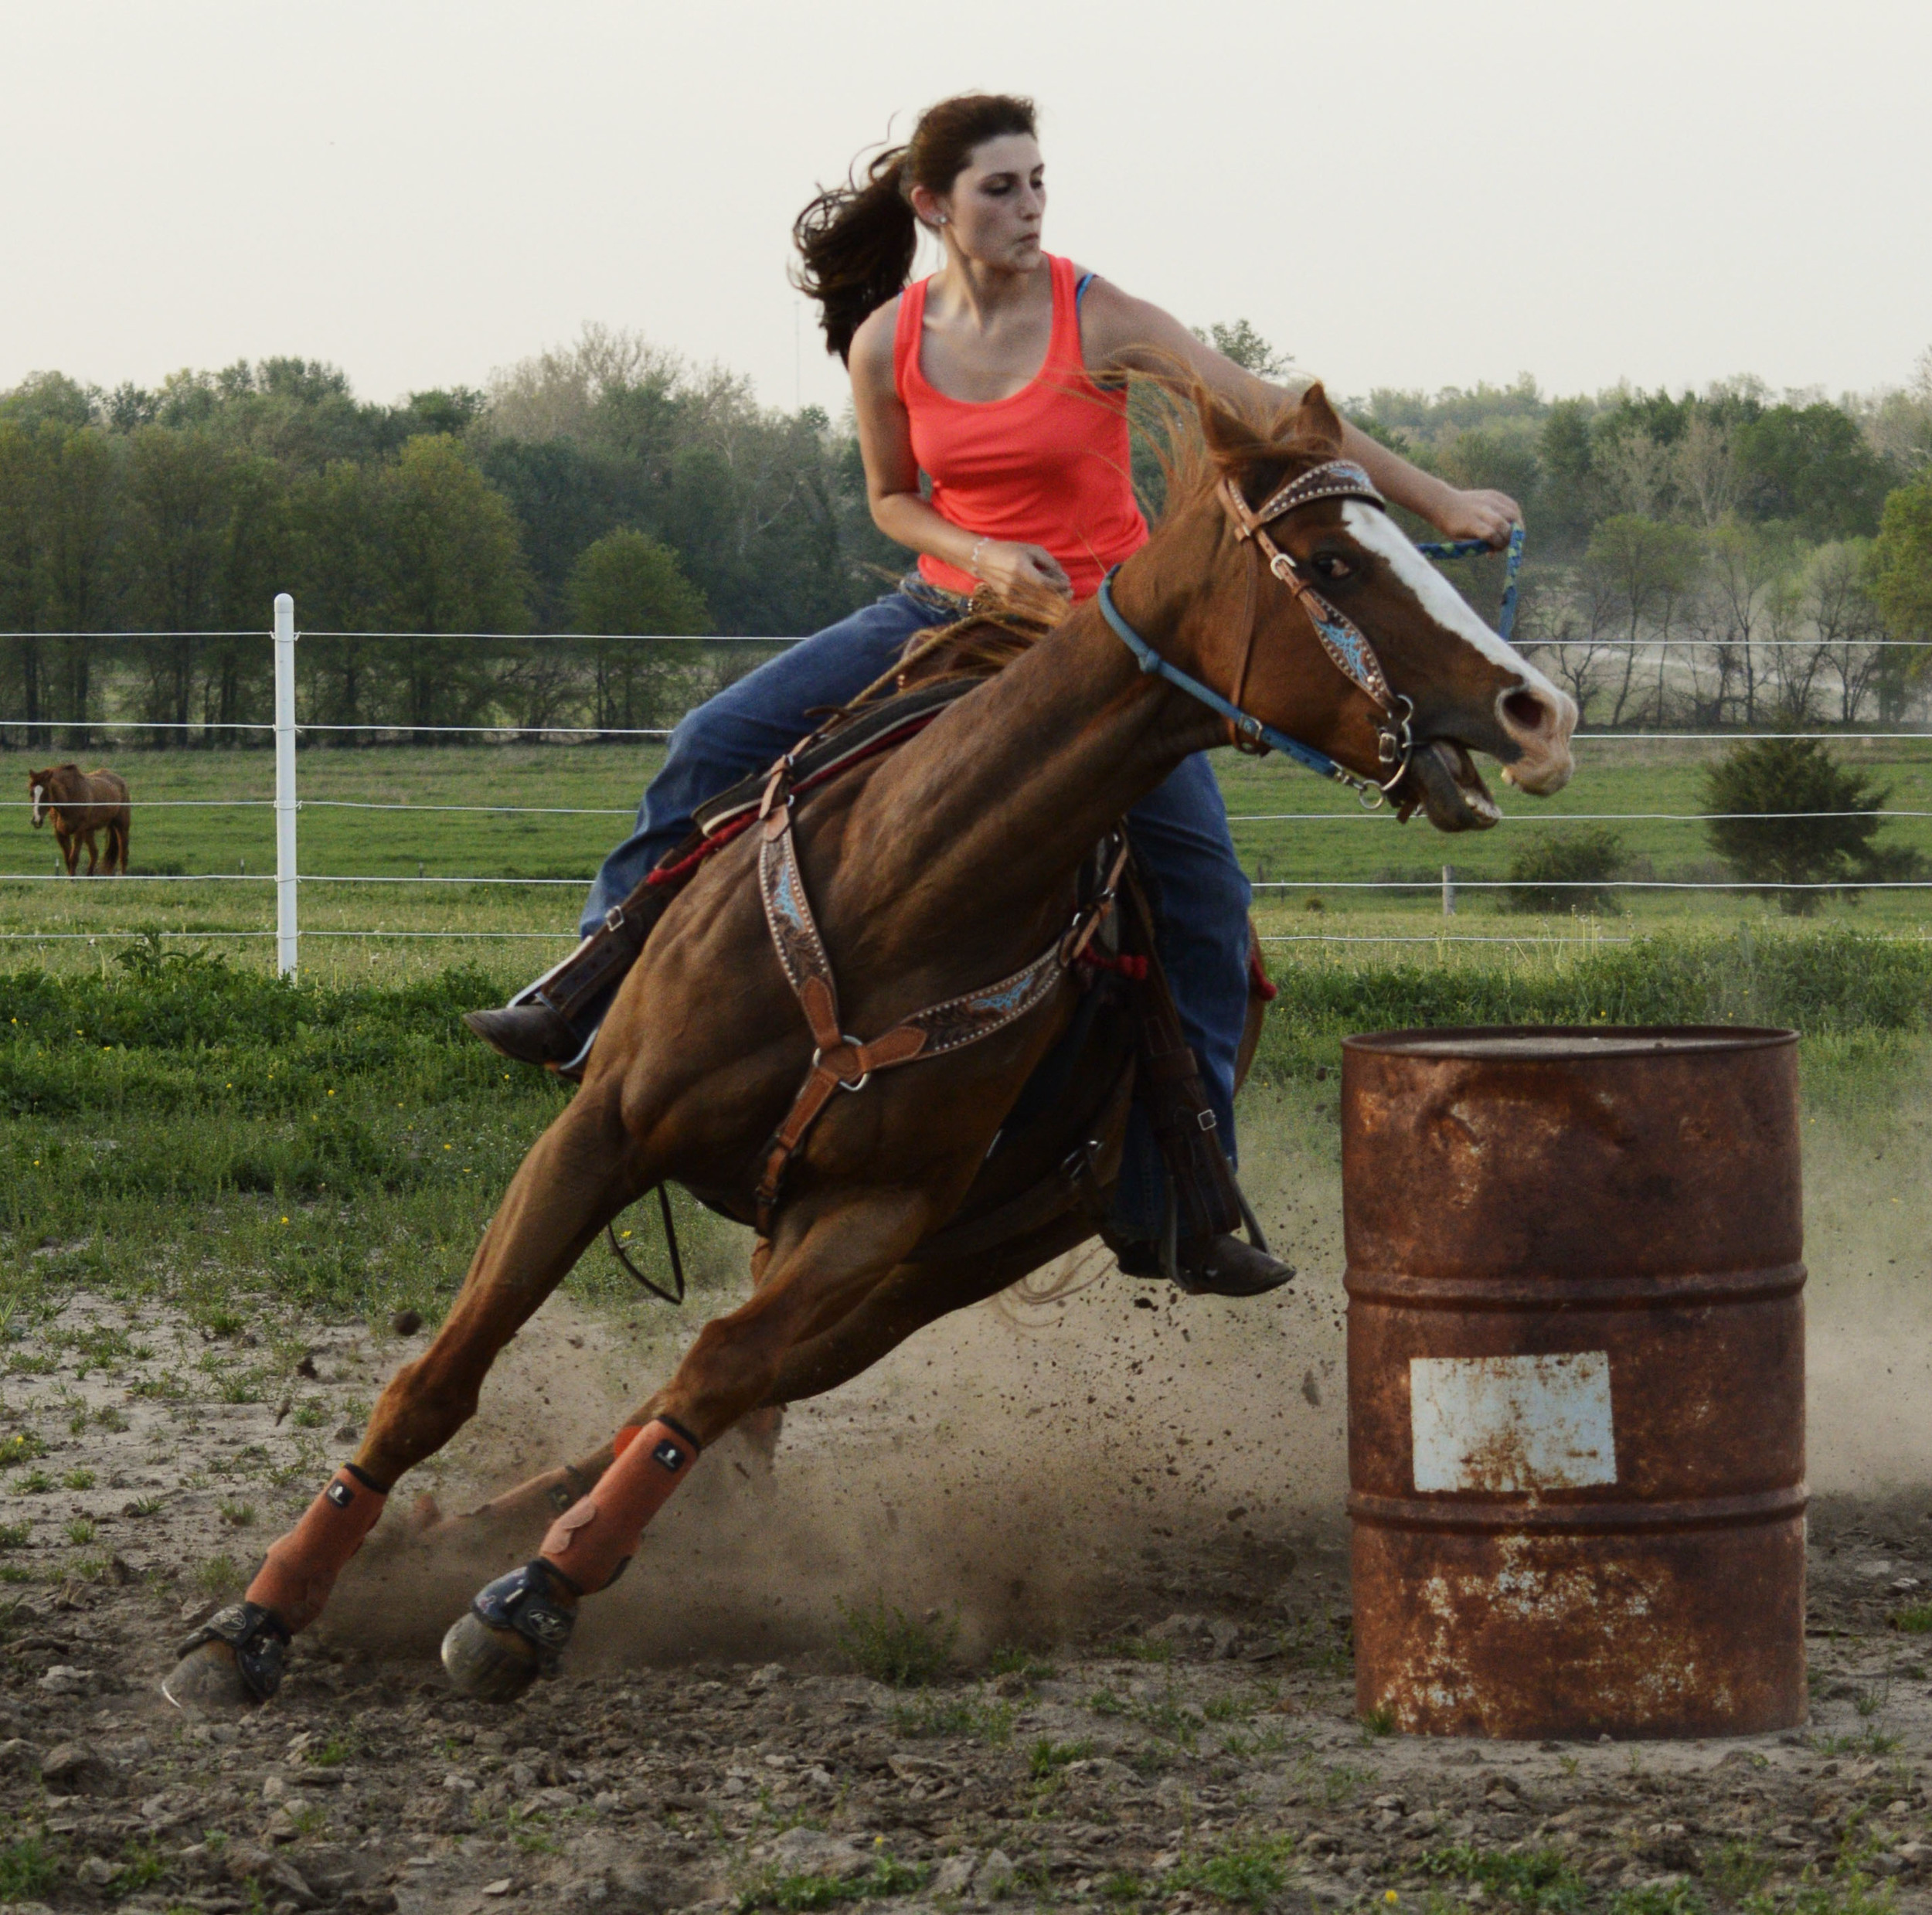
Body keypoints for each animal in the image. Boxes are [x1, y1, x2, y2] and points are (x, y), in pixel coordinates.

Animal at [28, 769, 132, 881]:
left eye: (46, 793)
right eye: (31, 793)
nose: (36, 820)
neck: (69, 799)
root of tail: (121, 781)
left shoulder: (79, 831)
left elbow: (73, 858)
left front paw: (72, 881)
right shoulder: (60, 833)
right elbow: (67, 858)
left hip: (122, 826)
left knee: (123, 854)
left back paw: (122, 878)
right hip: (89, 831)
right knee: (94, 852)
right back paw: (90, 877)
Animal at [166, 386, 1577, 1708]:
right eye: (1335, 563)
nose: (1538, 708)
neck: (909, 884)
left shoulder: (875, 1215)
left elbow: (714, 1369)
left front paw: (527, 1602)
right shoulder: (601, 1127)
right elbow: (441, 1371)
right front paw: (261, 1612)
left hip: (934, 1269)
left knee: (728, 1397)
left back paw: (544, 1553)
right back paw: (459, 1537)